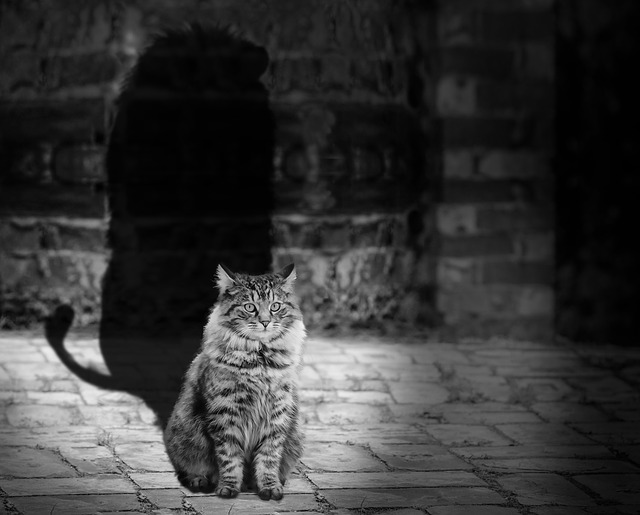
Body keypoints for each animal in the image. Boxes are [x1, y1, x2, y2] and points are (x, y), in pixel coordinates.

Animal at [164, 262, 306, 500]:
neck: (260, 360)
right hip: (183, 437)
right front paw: (228, 488)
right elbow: (229, 458)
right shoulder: (225, 413)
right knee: (189, 467)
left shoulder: (277, 414)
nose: (265, 322)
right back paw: (200, 481)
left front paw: (270, 487)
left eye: (275, 306)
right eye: (250, 307)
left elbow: (269, 458)